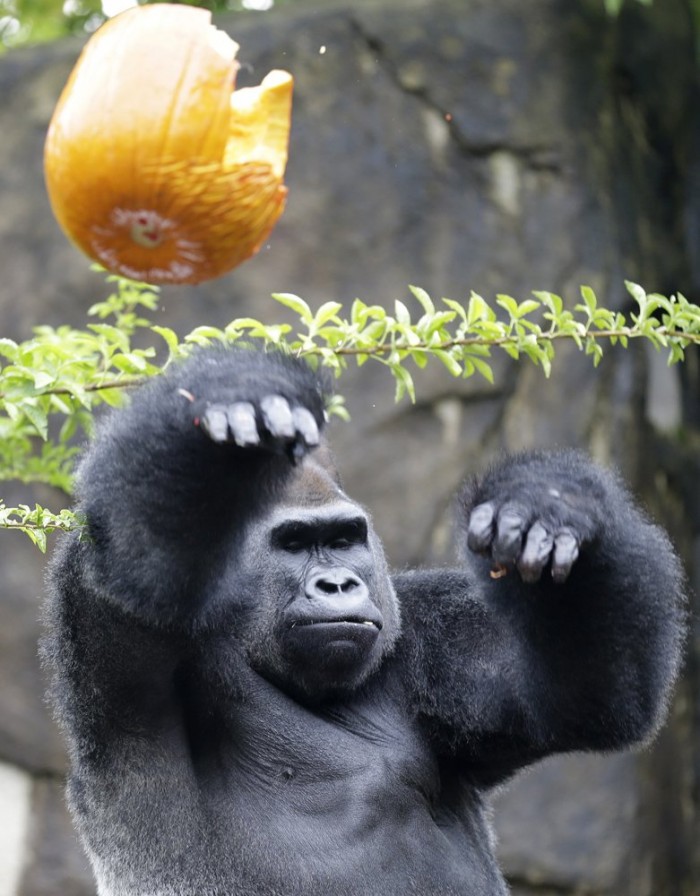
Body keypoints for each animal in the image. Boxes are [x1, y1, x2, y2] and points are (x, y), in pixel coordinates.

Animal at [46, 344, 688, 896]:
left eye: (344, 539)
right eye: (294, 544)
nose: (338, 584)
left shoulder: (427, 629)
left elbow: (587, 701)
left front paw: (552, 501)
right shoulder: (120, 628)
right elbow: (136, 563)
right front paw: (234, 390)